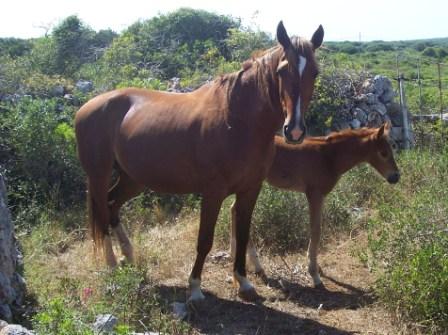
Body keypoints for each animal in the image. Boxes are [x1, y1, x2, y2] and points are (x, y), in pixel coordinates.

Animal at [75, 22, 324, 304]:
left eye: (314, 72)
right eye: (282, 71)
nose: (294, 130)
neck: (237, 120)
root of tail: (86, 107)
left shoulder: (251, 190)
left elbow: (243, 234)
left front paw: (244, 282)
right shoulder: (213, 193)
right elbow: (205, 240)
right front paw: (194, 288)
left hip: (133, 178)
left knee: (112, 204)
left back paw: (128, 254)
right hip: (99, 174)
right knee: (102, 210)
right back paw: (112, 263)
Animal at [231, 123, 400, 288]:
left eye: (392, 149)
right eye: (383, 153)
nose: (396, 177)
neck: (329, 157)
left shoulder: (321, 196)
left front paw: (317, 267)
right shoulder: (314, 194)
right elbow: (316, 230)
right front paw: (314, 274)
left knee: (234, 209)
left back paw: (235, 254)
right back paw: (254, 265)